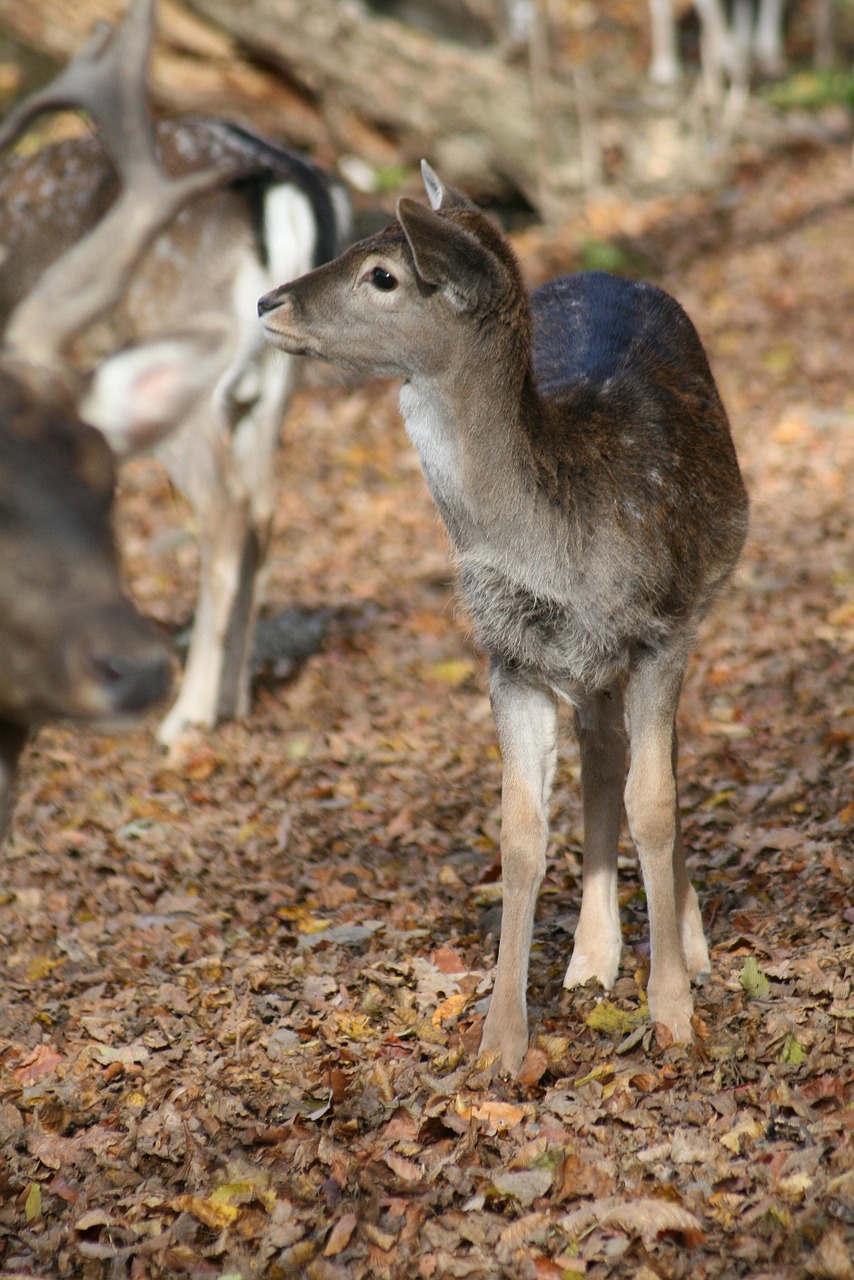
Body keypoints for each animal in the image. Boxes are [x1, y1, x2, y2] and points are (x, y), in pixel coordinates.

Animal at [0, 0, 350, 747]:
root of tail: (292, 188)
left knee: (225, 508)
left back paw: (187, 715)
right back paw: (235, 696)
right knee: (265, 506)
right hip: (278, 381)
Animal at [261, 165, 747, 1075]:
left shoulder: (662, 629)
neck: (557, 543)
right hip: (585, 668)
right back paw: (591, 956)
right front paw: (501, 1043)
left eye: (384, 274)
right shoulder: (508, 657)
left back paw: (687, 946)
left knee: (653, 762)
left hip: (693, 600)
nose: (269, 301)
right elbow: (521, 830)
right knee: (602, 755)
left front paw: (674, 1013)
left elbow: (655, 802)